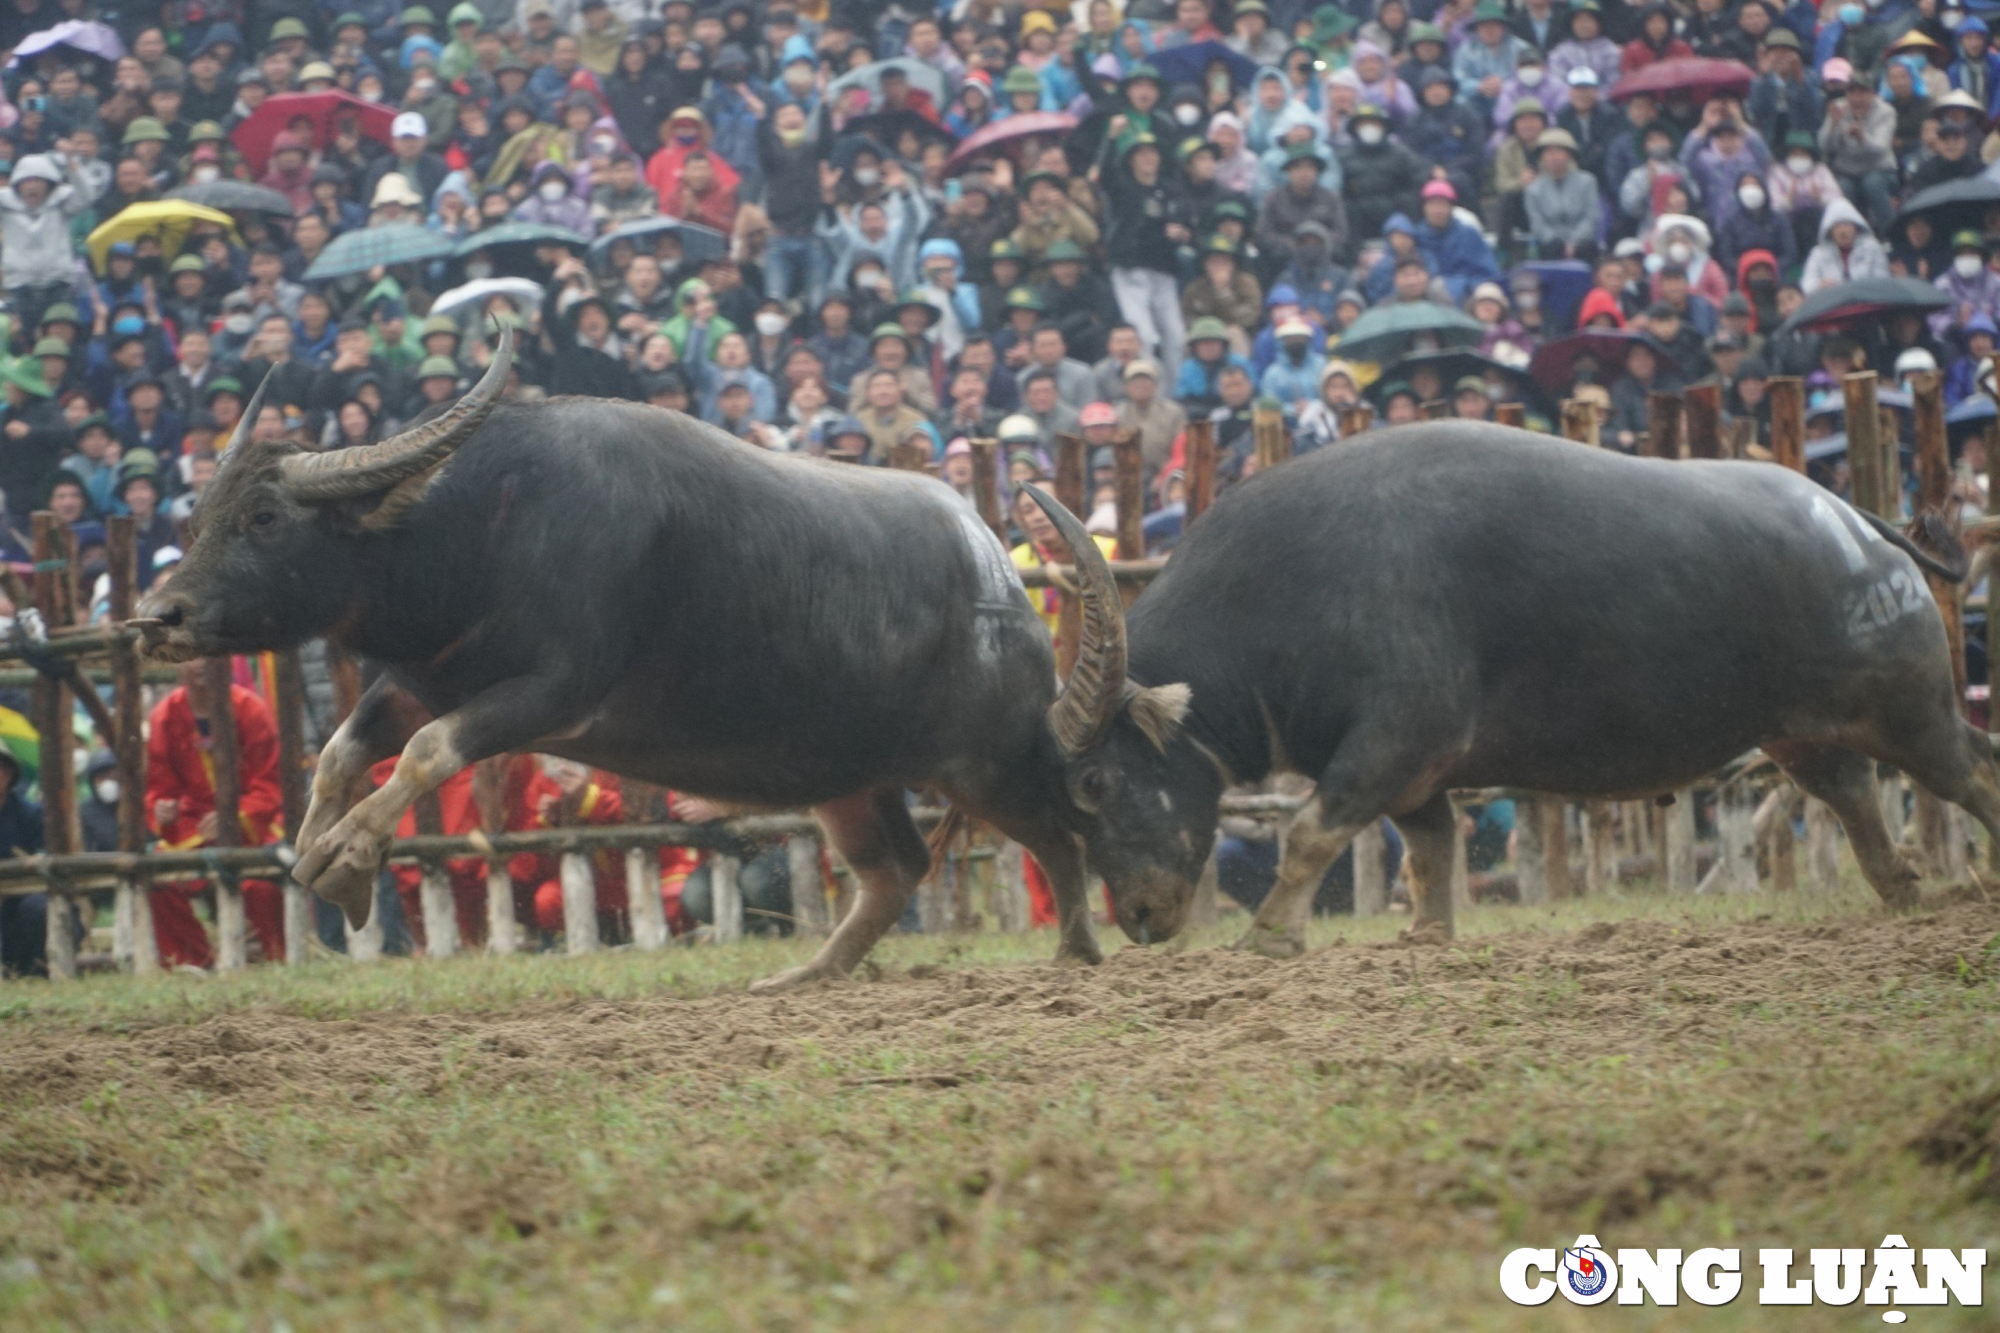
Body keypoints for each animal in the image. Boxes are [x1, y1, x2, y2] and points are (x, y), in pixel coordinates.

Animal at [1032, 420, 2000, 948]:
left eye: (1095, 781)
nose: (1139, 915)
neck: (1286, 593)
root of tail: (1858, 524)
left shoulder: (1392, 742)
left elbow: (1309, 831)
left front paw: (1270, 935)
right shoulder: (1414, 778)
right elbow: (1430, 852)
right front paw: (1425, 935)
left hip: (1911, 711)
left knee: (1972, 769)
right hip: (1799, 731)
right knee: (1854, 793)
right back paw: (1903, 891)